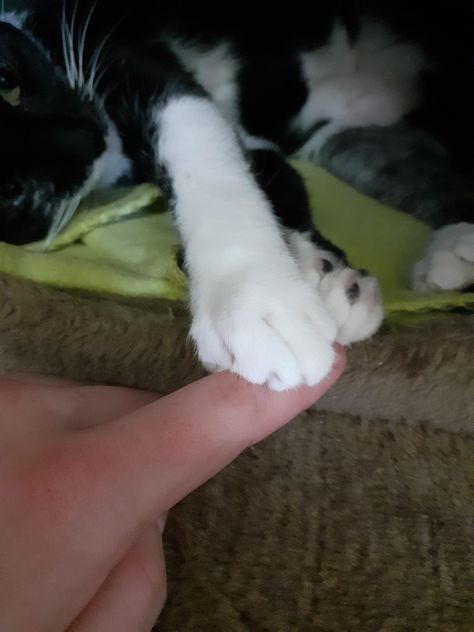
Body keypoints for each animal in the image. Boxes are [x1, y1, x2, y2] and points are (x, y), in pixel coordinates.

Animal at [0, 1, 472, 390]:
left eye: (8, 82)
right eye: (12, 190)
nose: (90, 135)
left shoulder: (119, 43)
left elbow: (197, 136)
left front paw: (253, 294)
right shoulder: (258, 143)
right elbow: (275, 175)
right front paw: (324, 276)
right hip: (352, 144)